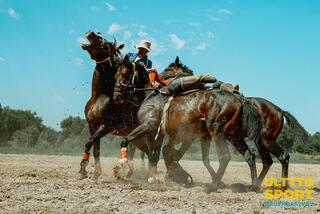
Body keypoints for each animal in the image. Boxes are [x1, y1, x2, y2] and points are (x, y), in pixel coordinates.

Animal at [78, 32, 162, 182]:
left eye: (106, 45)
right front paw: (94, 173)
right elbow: (96, 148)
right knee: (148, 153)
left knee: (153, 154)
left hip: (149, 136)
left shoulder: (106, 126)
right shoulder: (92, 126)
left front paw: (84, 168)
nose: (92, 32)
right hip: (140, 139)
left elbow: (89, 142)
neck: (99, 97)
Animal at [112, 56, 262, 192]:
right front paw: (154, 176)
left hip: (217, 131)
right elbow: (156, 154)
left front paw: (122, 166)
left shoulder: (149, 125)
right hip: (233, 135)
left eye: (124, 73)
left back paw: (212, 186)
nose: (116, 96)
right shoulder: (160, 134)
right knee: (249, 155)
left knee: (224, 157)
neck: (153, 96)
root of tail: (239, 99)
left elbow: (127, 141)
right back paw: (254, 186)